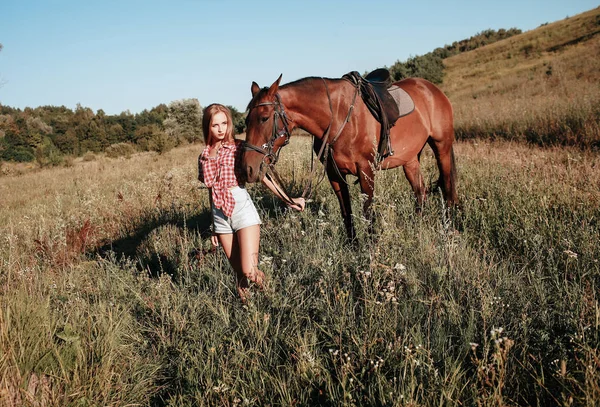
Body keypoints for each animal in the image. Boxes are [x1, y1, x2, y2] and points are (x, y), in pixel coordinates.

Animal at [241, 73, 458, 242]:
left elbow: (368, 213)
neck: (338, 117)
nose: (248, 168)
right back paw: (417, 228)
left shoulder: (366, 170)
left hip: (442, 147)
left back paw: (449, 227)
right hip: (411, 159)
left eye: (264, 118)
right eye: (247, 120)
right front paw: (353, 247)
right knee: (420, 192)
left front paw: (370, 251)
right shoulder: (334, 174)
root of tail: (431, 89)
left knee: (448, 186)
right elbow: (346, 212)